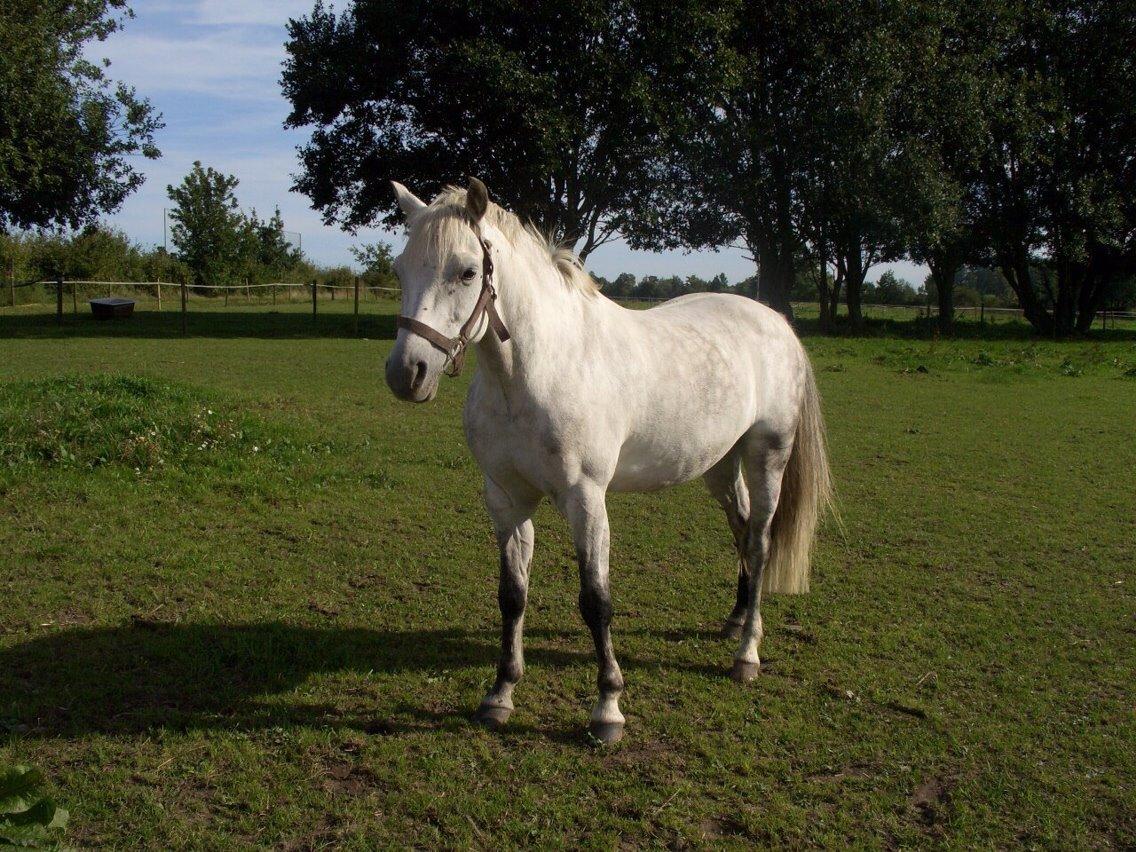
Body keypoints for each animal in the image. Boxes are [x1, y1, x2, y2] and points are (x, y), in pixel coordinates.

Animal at [384, 177, 832, 743]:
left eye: (466, 271)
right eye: (400, 270)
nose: (407, 373)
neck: (538, 371)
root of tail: (776, 321)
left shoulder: (586, 500)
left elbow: (595, 601)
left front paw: (608, 708)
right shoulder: (506, 499)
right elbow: (512, 595)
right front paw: (500, 694)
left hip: (767, 455)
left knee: (760, 540)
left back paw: (746, 652)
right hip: (720, 465)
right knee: (742, 529)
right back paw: (733, 621)